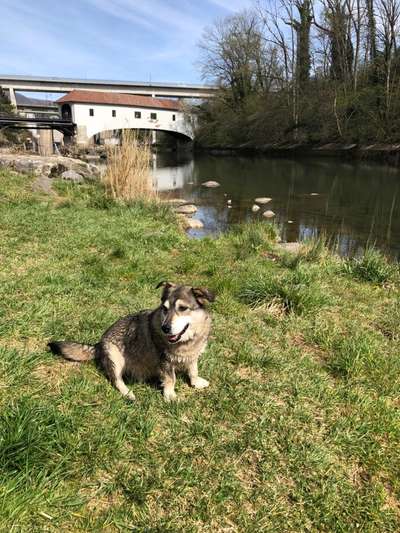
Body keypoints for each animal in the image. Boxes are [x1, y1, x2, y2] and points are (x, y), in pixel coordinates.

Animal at [47, 282, 216, 400]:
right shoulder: (165, 361)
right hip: (115, 357)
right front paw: (170, 396)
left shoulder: (193, 356)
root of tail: (98, 345)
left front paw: (195, 382)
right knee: (116, 380)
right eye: (165, 308)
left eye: (182, 308)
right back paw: (128, 393)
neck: (186, 342)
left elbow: (193, 369)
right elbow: (171, 378)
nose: (165, 328)